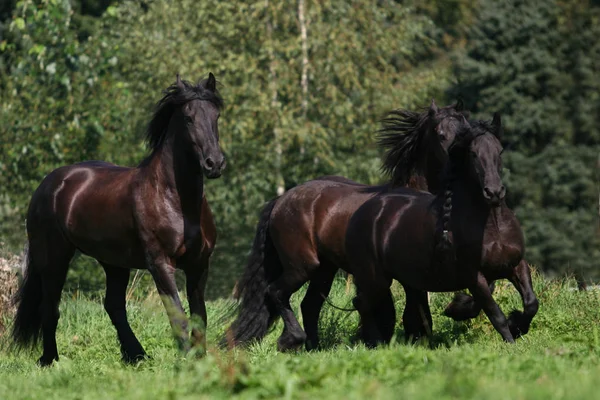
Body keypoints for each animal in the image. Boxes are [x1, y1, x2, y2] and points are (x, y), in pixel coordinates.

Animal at [11, 73, 227, 364]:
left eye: (216, 115)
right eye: (188, 117)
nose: (214, 163)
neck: (176, 201)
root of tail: (49, 183)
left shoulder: (199, 265)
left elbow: (199, 316)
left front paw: (200, 359)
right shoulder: (160, 264)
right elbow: (178, 316)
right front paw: (186, 360)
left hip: (113, 262)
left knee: (113, 305)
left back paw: (136, 355)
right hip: (54, 258)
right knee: (50, 307)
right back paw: (50, 359)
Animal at [223, 99, 472, 350]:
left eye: (467, 131)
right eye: (441, 134)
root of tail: (281, 200)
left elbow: (418, 313)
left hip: (324, 269)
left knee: (309, 304)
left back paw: (314, 347)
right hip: (302, 265)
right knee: (275, 292)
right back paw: (292, 339)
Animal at [346, 114, 540, 346]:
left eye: (499, 151)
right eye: (473, 153)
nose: (494, 192)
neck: (493, 226)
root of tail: (361, 212)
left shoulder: (515, 265)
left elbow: (531, 303)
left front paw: (516, 325)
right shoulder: (474, 276)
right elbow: (495, 313)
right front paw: (511, 340)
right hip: (376, 278)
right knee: (363, 304)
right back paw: (377, 343)